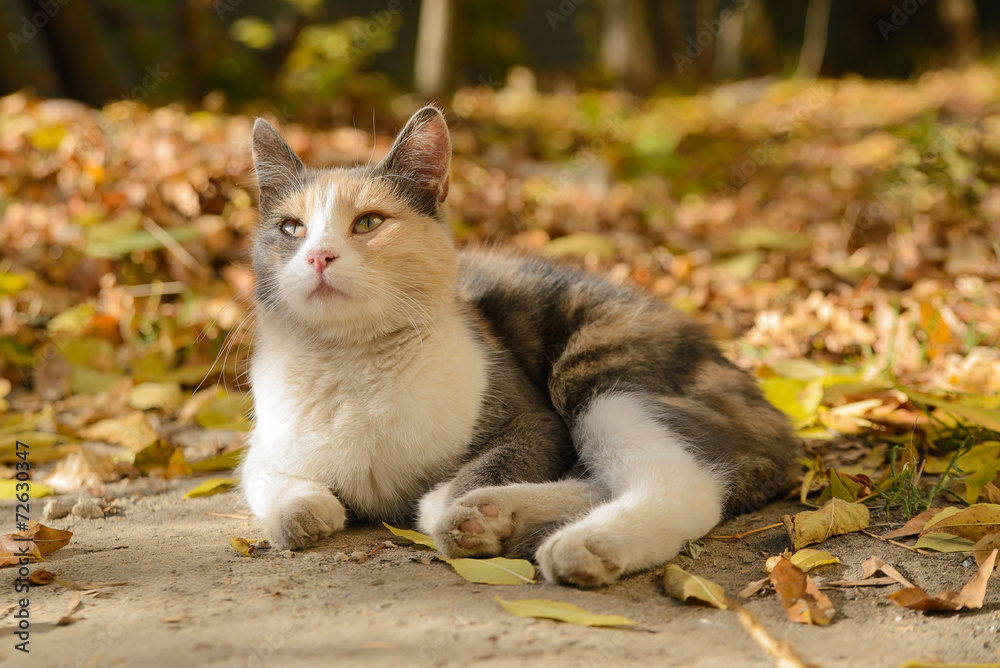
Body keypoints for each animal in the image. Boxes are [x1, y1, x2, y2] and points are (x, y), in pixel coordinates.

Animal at [240, 107, 796, 588]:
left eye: (370, 223)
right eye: (291, 228)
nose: (318, 256)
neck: (352, 364)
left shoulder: (534, 421)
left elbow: (470, 476)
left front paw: (449, 504)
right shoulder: (263, 447)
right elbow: (267, 482)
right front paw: (303, 510)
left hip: (604, 375)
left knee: (682, 486)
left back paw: (573, 541)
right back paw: (500, 515)